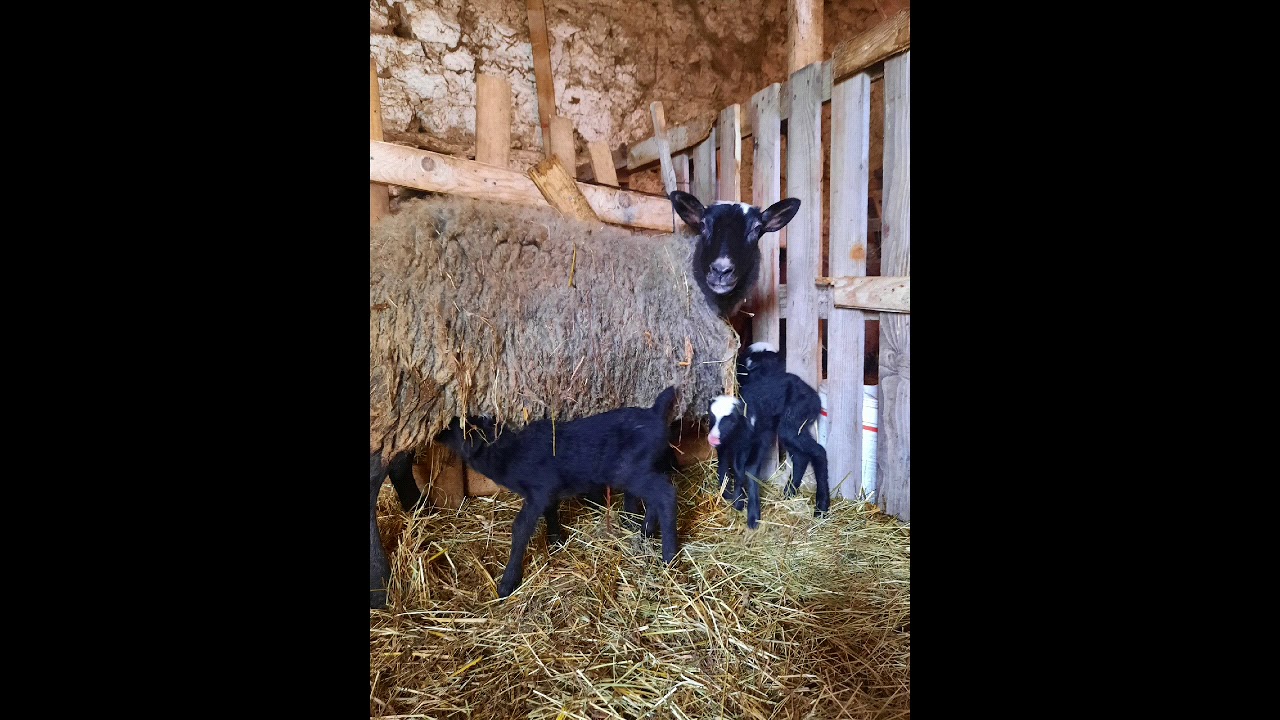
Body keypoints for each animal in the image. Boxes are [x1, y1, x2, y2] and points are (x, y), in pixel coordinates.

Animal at [433, 387, 680, 598]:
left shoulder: (538, 490)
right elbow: (551, 511)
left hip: (631, 470)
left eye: (457, 426)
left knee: (665, 495)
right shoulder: (547, 493)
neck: (508, 452)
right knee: (656, 497)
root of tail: (655, 413)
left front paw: (507, 583)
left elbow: (521, 528)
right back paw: (645, 532)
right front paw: (556, 541)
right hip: (646, 468)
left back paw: (669, 556)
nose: (437, 432)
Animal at [707, 343, 829, 528]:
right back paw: (789, 492)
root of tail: (813, 396)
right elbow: (731, 468)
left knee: (818, 452)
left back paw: (821, 506)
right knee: (801, 457)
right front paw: (734, 499)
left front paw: (752, 516)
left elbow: (749, 470)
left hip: (793, 421)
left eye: (730, 420)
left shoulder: (759, 440)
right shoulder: (730, 446)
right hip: (790, 429)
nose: (712, 438)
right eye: (711, 417)